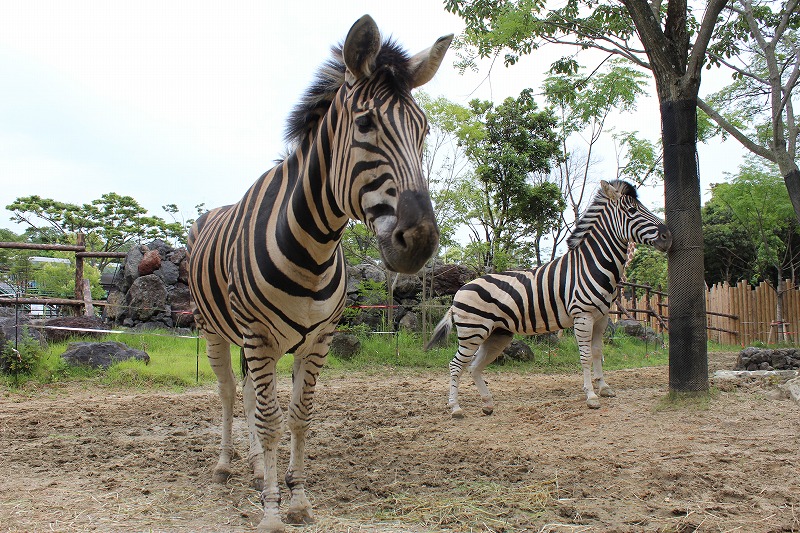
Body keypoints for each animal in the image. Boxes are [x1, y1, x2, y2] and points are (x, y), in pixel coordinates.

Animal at [185, 14, 454, 528]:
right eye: (365, 123)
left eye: (425, 130)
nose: (420, 241)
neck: (313, 246)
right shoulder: (258, 335)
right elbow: (269, 419)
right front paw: (271, 512)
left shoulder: (318, 340)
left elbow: (297, 416)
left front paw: (297, 498)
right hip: (215, 328)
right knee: (229, 393)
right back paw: (226, 465)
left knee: (246, 396)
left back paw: (255, 468)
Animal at [428, 181, 672, 418]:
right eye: (632, 211)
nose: (667, 236)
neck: (591, 265)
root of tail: (460, 290)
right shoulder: (583, 316)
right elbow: (585, 356)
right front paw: (591, 396)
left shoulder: (601, 318)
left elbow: (597, 353)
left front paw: (604, 387)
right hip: (473, 331)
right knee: (455, 365)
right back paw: (456, 408)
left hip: (498, 334)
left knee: (474, 367)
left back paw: (487, 404)